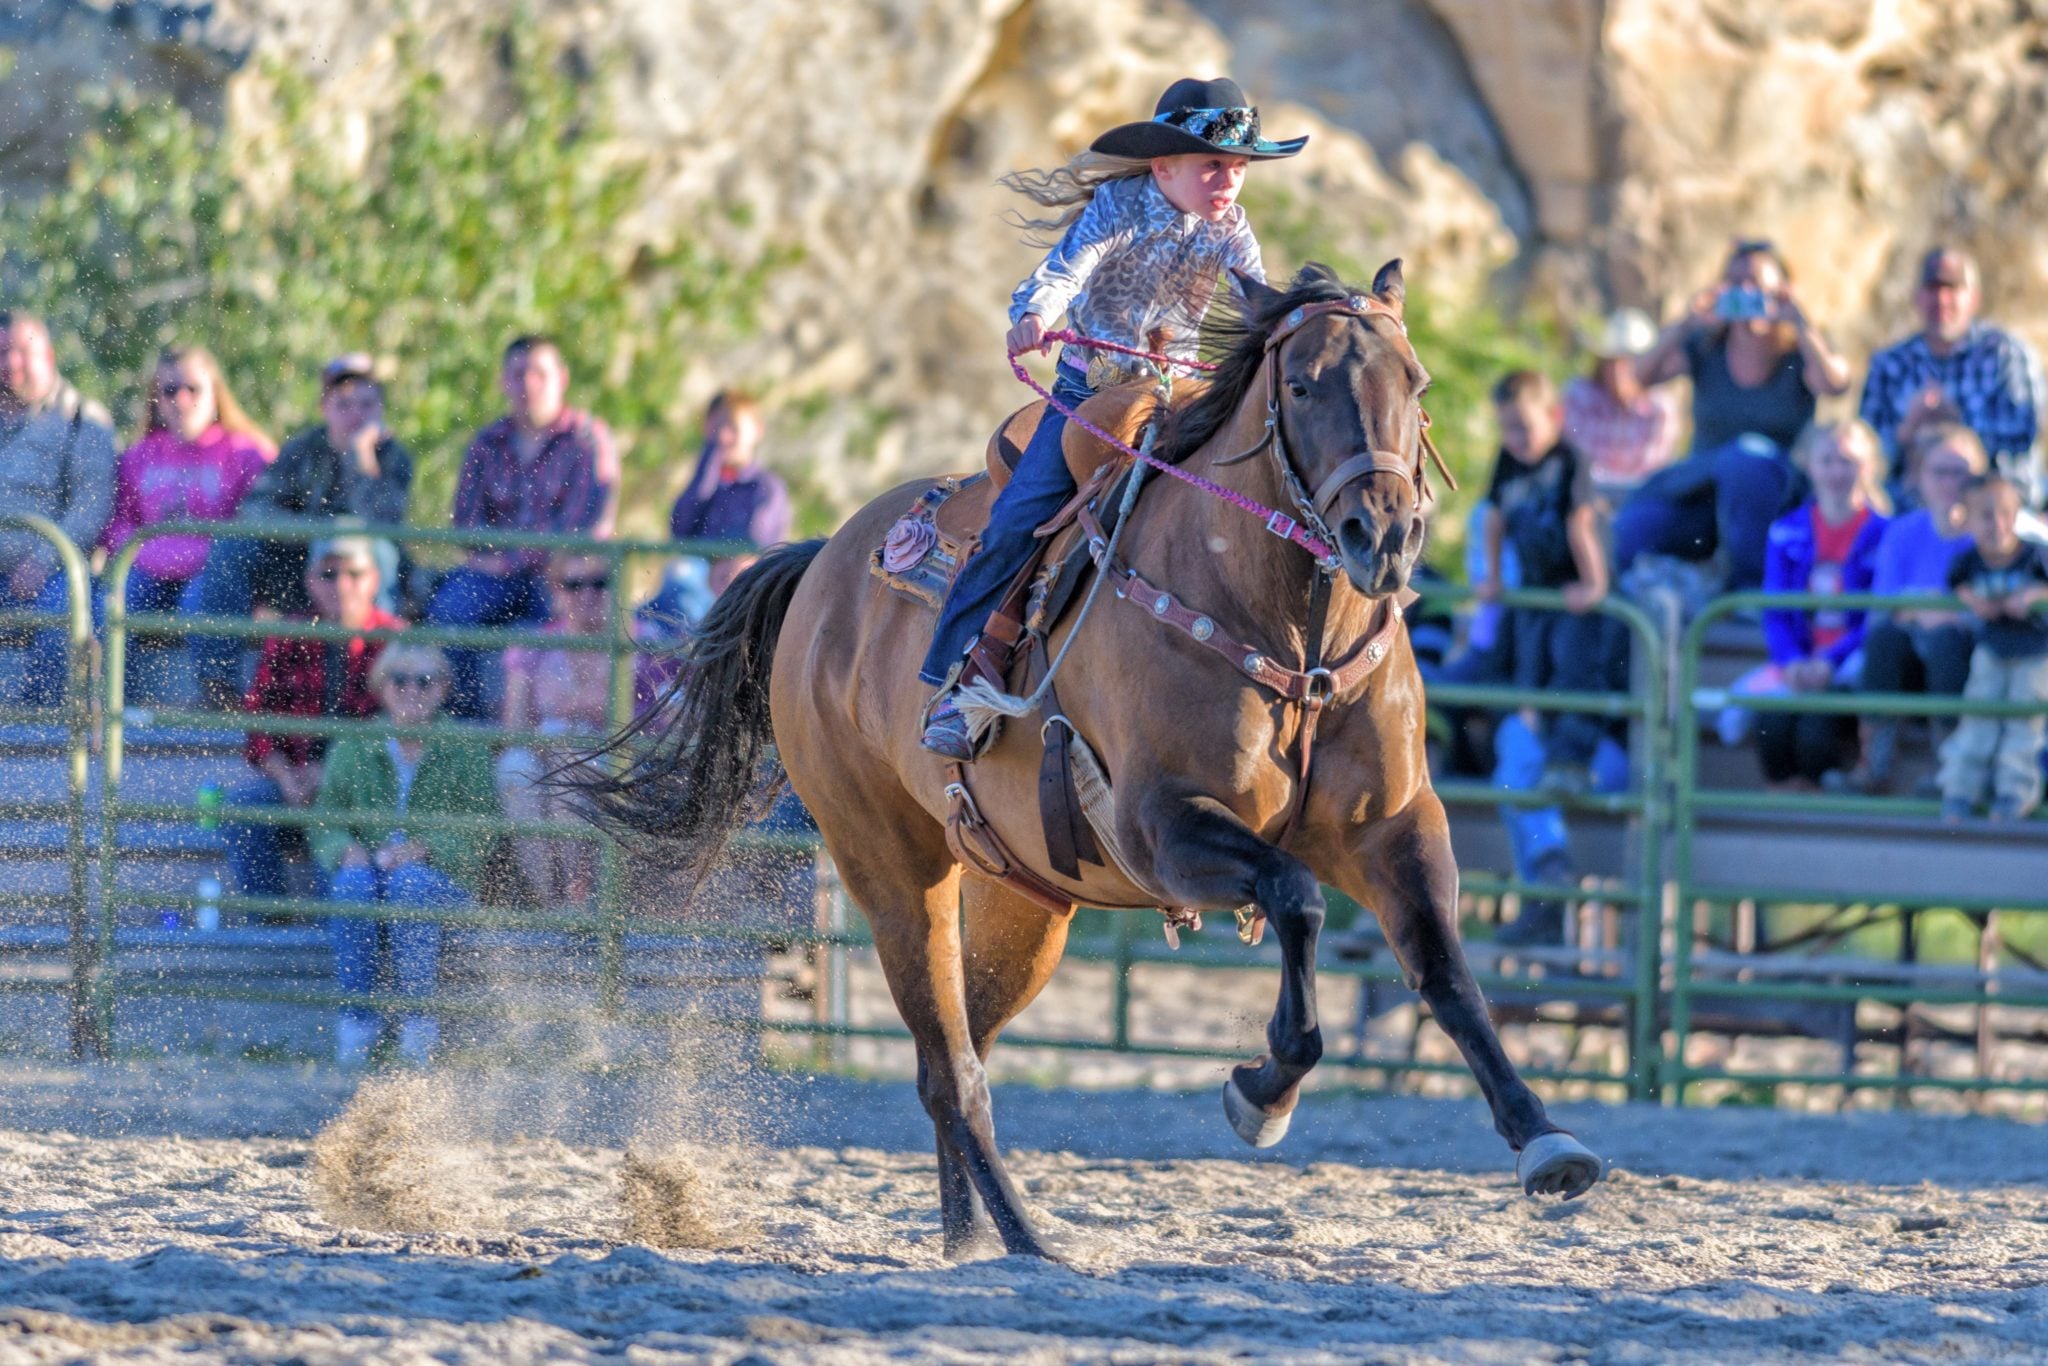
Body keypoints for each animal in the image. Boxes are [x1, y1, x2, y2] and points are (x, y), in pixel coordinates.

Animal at [579, 261, 1604, 1259]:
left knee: (958, 1046)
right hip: (893, 871)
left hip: (1028, 905)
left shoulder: (1395, 826)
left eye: (1415, 383)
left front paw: (1545, 1138)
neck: (1289, 635)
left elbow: (1445, 969)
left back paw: (968, 1239)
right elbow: (1298, 898)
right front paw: (1261, 1092)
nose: (1384, 538)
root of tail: (825, 566)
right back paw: (1026, 1241)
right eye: (1305, 385)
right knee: (950, 1066)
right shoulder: (1165, 829)